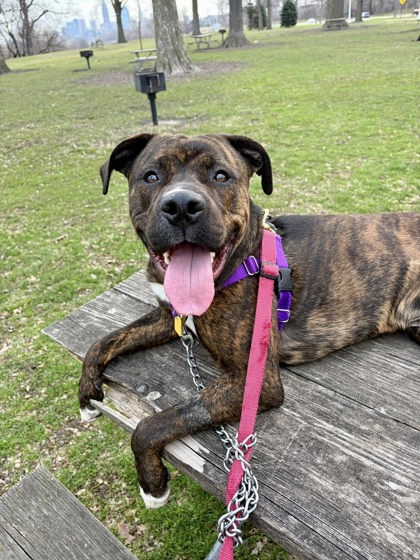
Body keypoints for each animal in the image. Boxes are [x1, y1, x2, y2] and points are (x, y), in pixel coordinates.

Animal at [79, 133, 420, 508]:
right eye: (151, 176)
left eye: (221, 176)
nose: (182, 205)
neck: (245, 257)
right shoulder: (171, 315)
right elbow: (103, 341)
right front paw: (87, 396)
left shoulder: (255, 382)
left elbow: (157, 422)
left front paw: (152, 485)